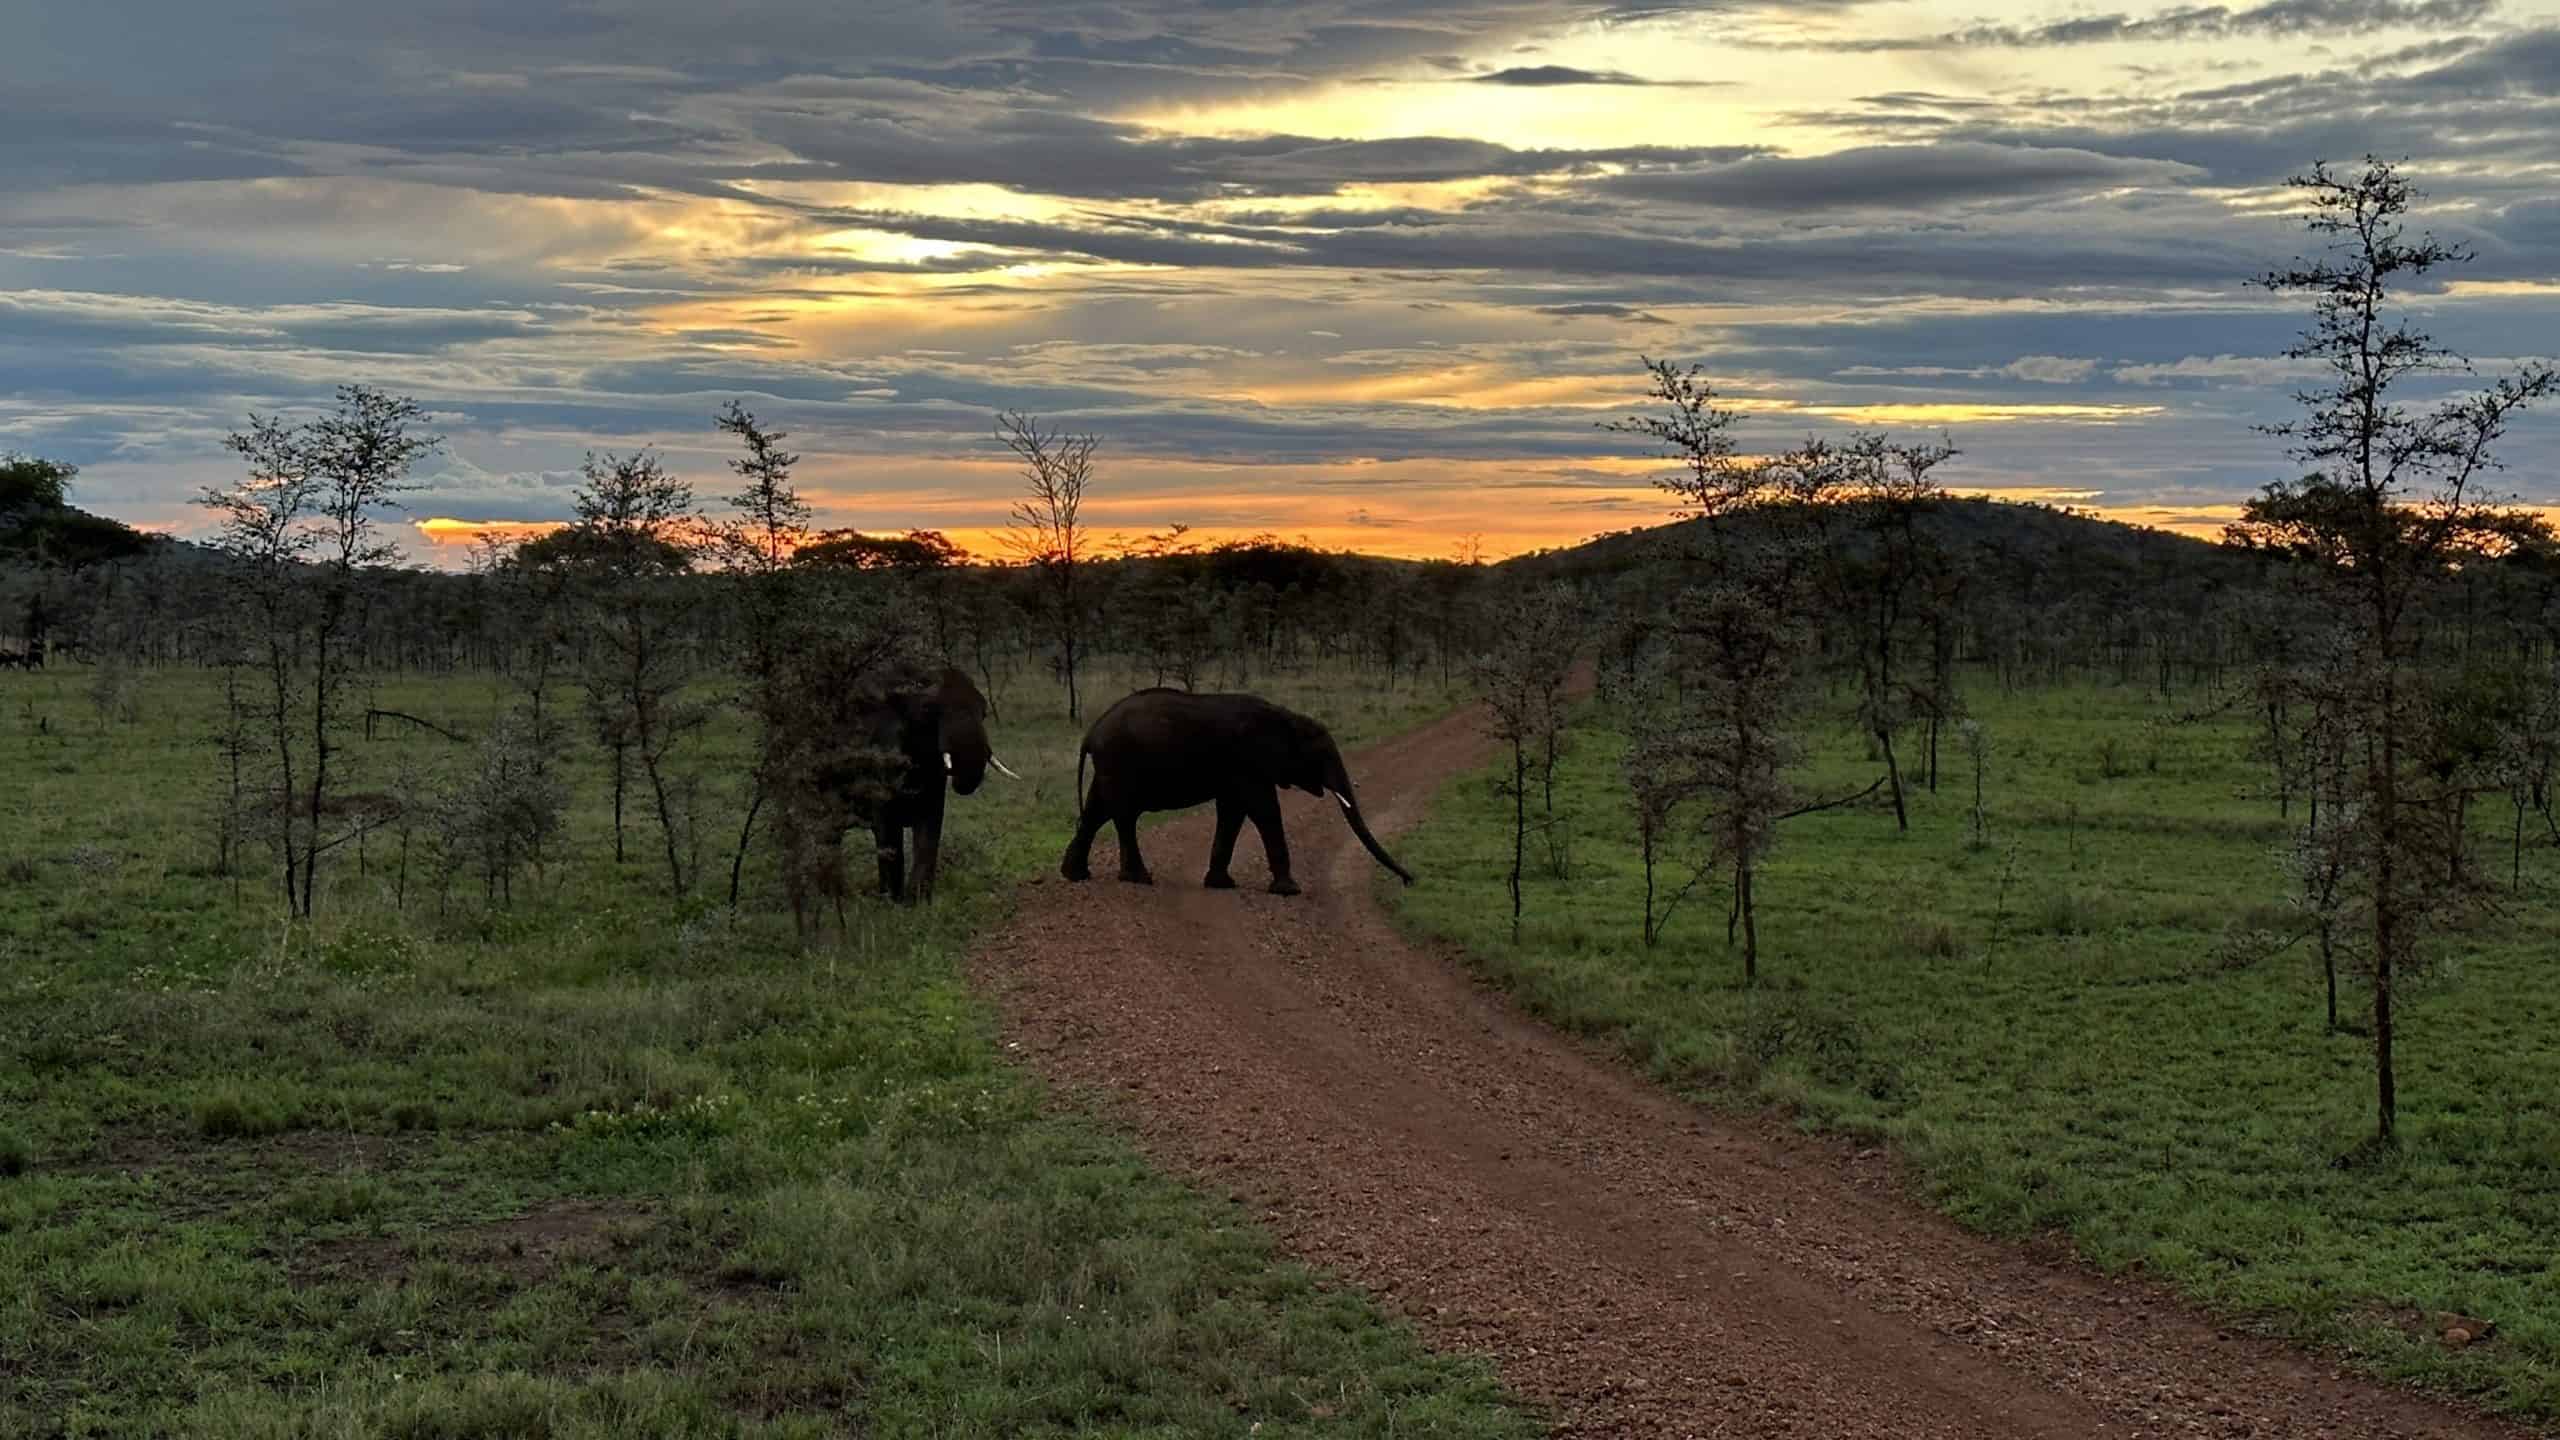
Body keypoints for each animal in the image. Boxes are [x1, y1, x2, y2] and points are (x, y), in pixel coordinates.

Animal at [1060, 688, 1414, 896]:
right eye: (1322, 756)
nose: (1409, 881)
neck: (1286, 716)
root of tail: (1091, 732)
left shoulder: (1238, 770)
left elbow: (1233, 813)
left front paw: (1220, 885)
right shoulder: (1249, 761)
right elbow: (1264, 809)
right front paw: (1290, 891)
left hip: (1111, 765)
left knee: (1097, 811)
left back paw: (1077, 875)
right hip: (1121, 762)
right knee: (1123, 815)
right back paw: (1139, 878)